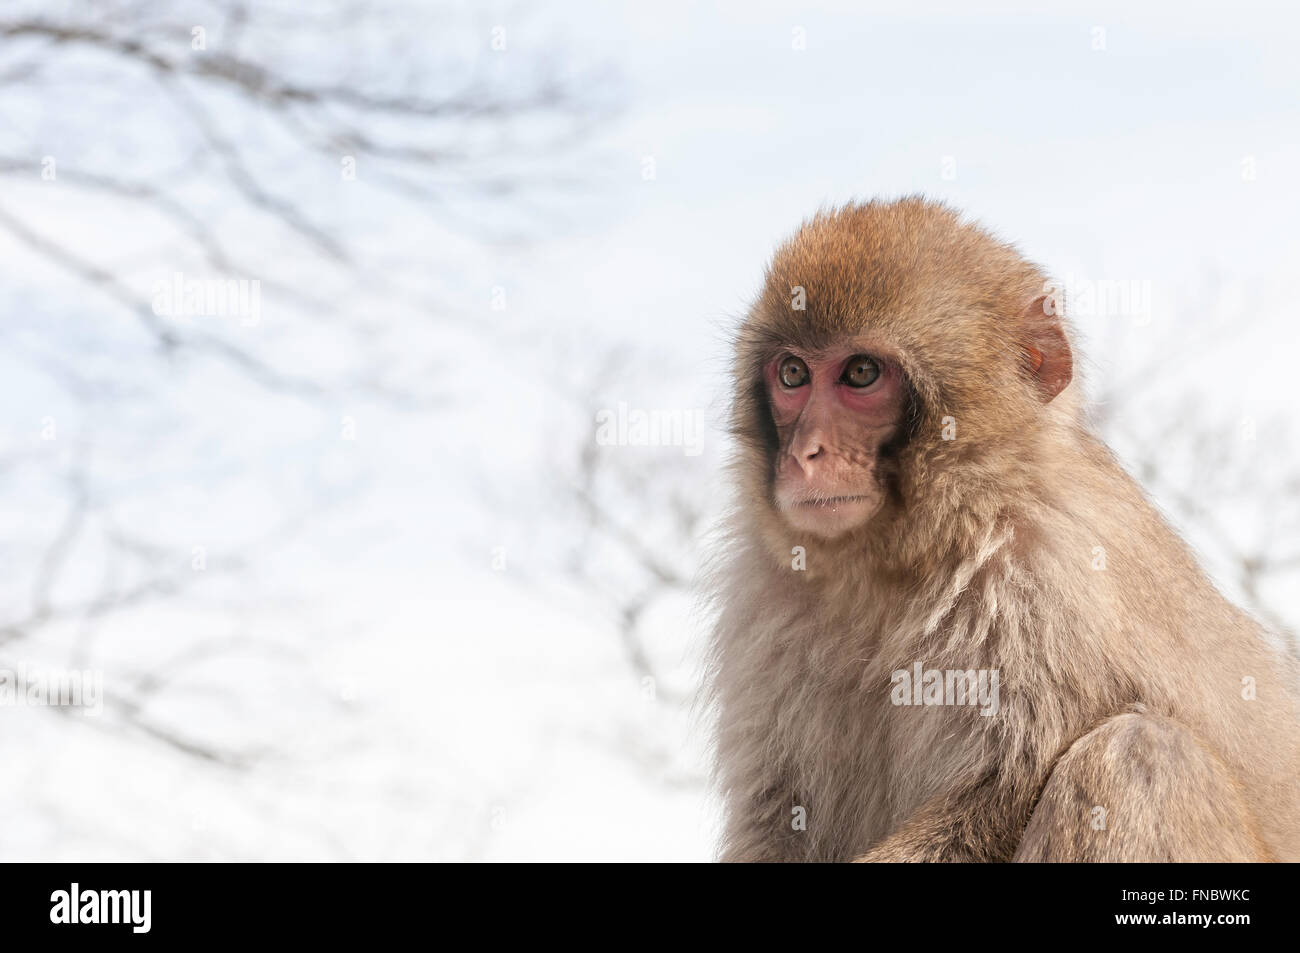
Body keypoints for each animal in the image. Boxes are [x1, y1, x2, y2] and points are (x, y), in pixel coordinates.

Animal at [712, 195, 1300, 863]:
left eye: (860, 373)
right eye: (792, 375)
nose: (805, 453)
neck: (898, 559)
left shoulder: (1042, 572)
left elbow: (1003, 794)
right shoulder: (762, 591)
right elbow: (778, 816)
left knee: (1140, 756)